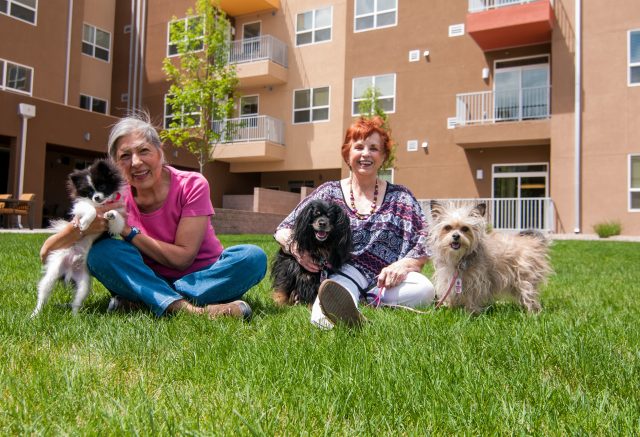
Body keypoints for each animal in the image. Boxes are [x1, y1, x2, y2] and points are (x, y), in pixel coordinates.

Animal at [32, 158, 126, 316]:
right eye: (89, 192)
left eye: (102, 186)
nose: (96, 197)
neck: (101, 205)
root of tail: (70, 269)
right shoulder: (80, 206)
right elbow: (90, 209)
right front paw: (85, 223)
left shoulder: (116, 225)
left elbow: (117, 218)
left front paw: (110, 214)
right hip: (53, 272)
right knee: (43, 294)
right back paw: (35, 314)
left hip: (84, 284)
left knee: (77, 301)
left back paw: (75, 317)